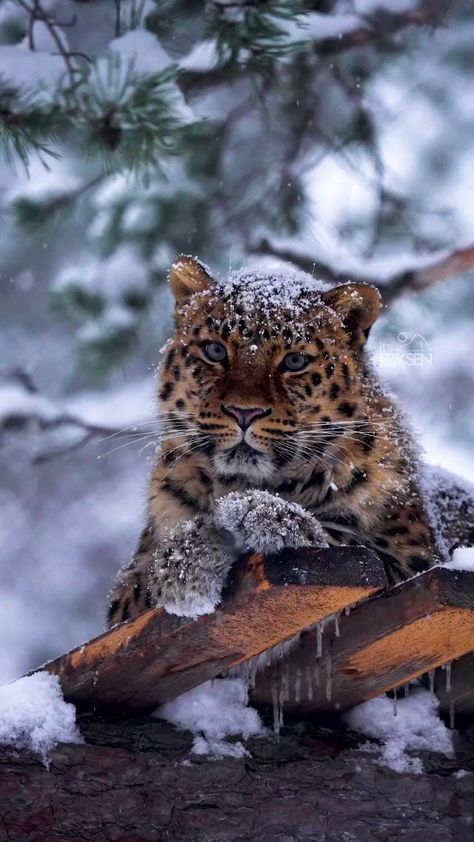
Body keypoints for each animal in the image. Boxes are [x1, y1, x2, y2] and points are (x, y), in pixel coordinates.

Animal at [107, 253, 474, 628]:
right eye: (214, 351)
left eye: (295, 361)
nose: (243, 412)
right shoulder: (123, 599)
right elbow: (141, 583)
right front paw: (185, 561)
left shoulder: (413, 558)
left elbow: (341, 541)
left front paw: (263, 514)